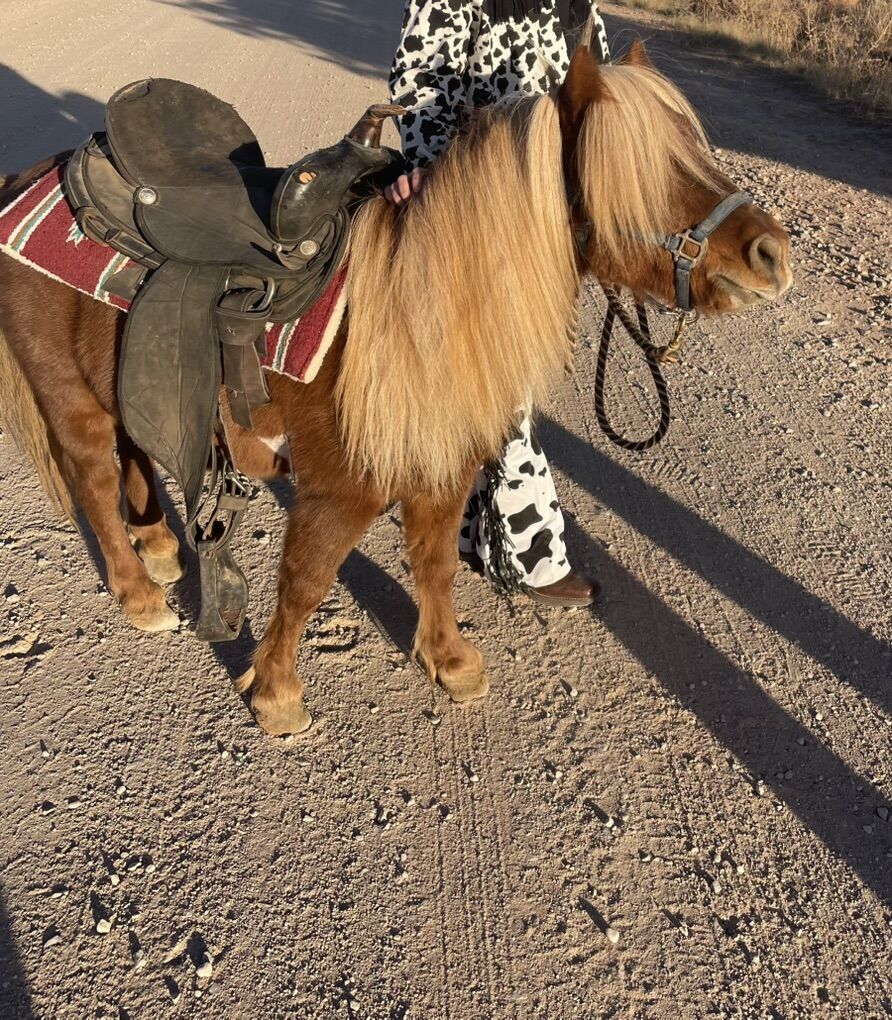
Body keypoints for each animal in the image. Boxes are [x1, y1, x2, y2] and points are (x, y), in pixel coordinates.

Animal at [0, 43, 792, 736]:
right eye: (641, 168)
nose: (772, 254)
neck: (423, 304)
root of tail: (32, 178)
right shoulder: (339, 490)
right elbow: (306, 579)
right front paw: (279, 695)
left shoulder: (443, 468)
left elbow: (434, 565)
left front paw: (449, 660)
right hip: (68, 396)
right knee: (95, 481)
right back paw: (140, 595)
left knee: (135, 446)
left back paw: (162, 545)